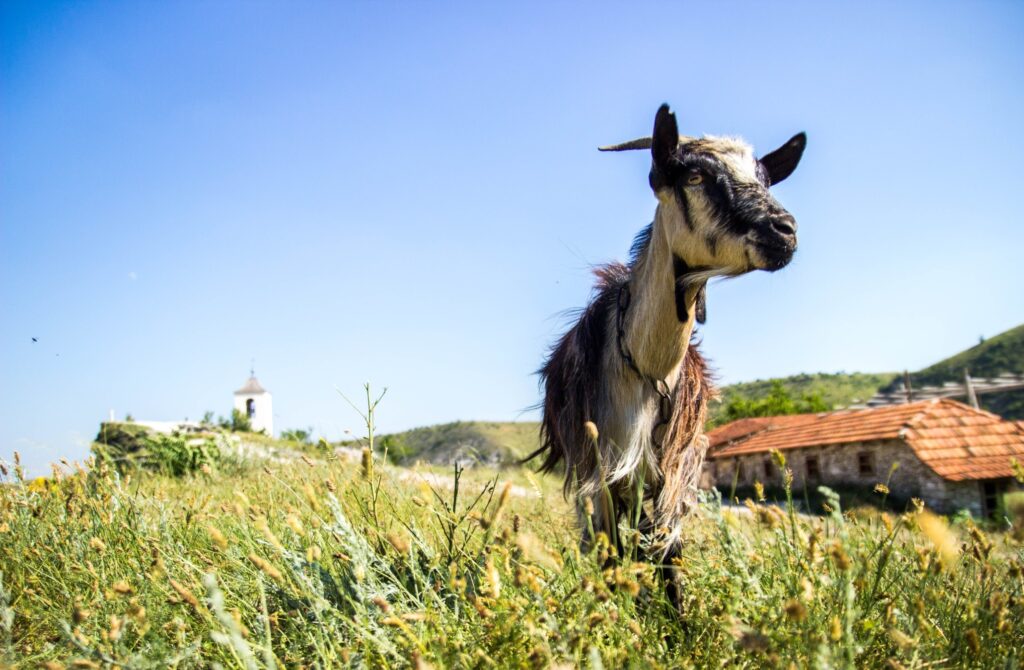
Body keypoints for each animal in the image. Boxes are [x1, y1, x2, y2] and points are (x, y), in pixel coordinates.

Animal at [528, 99, 806, 581]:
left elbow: (666, 551)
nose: (784, 230)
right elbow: (611, 547)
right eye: (694, 177)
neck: (647, 367)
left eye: (765, 178)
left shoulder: (675, 465)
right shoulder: (602, 465)